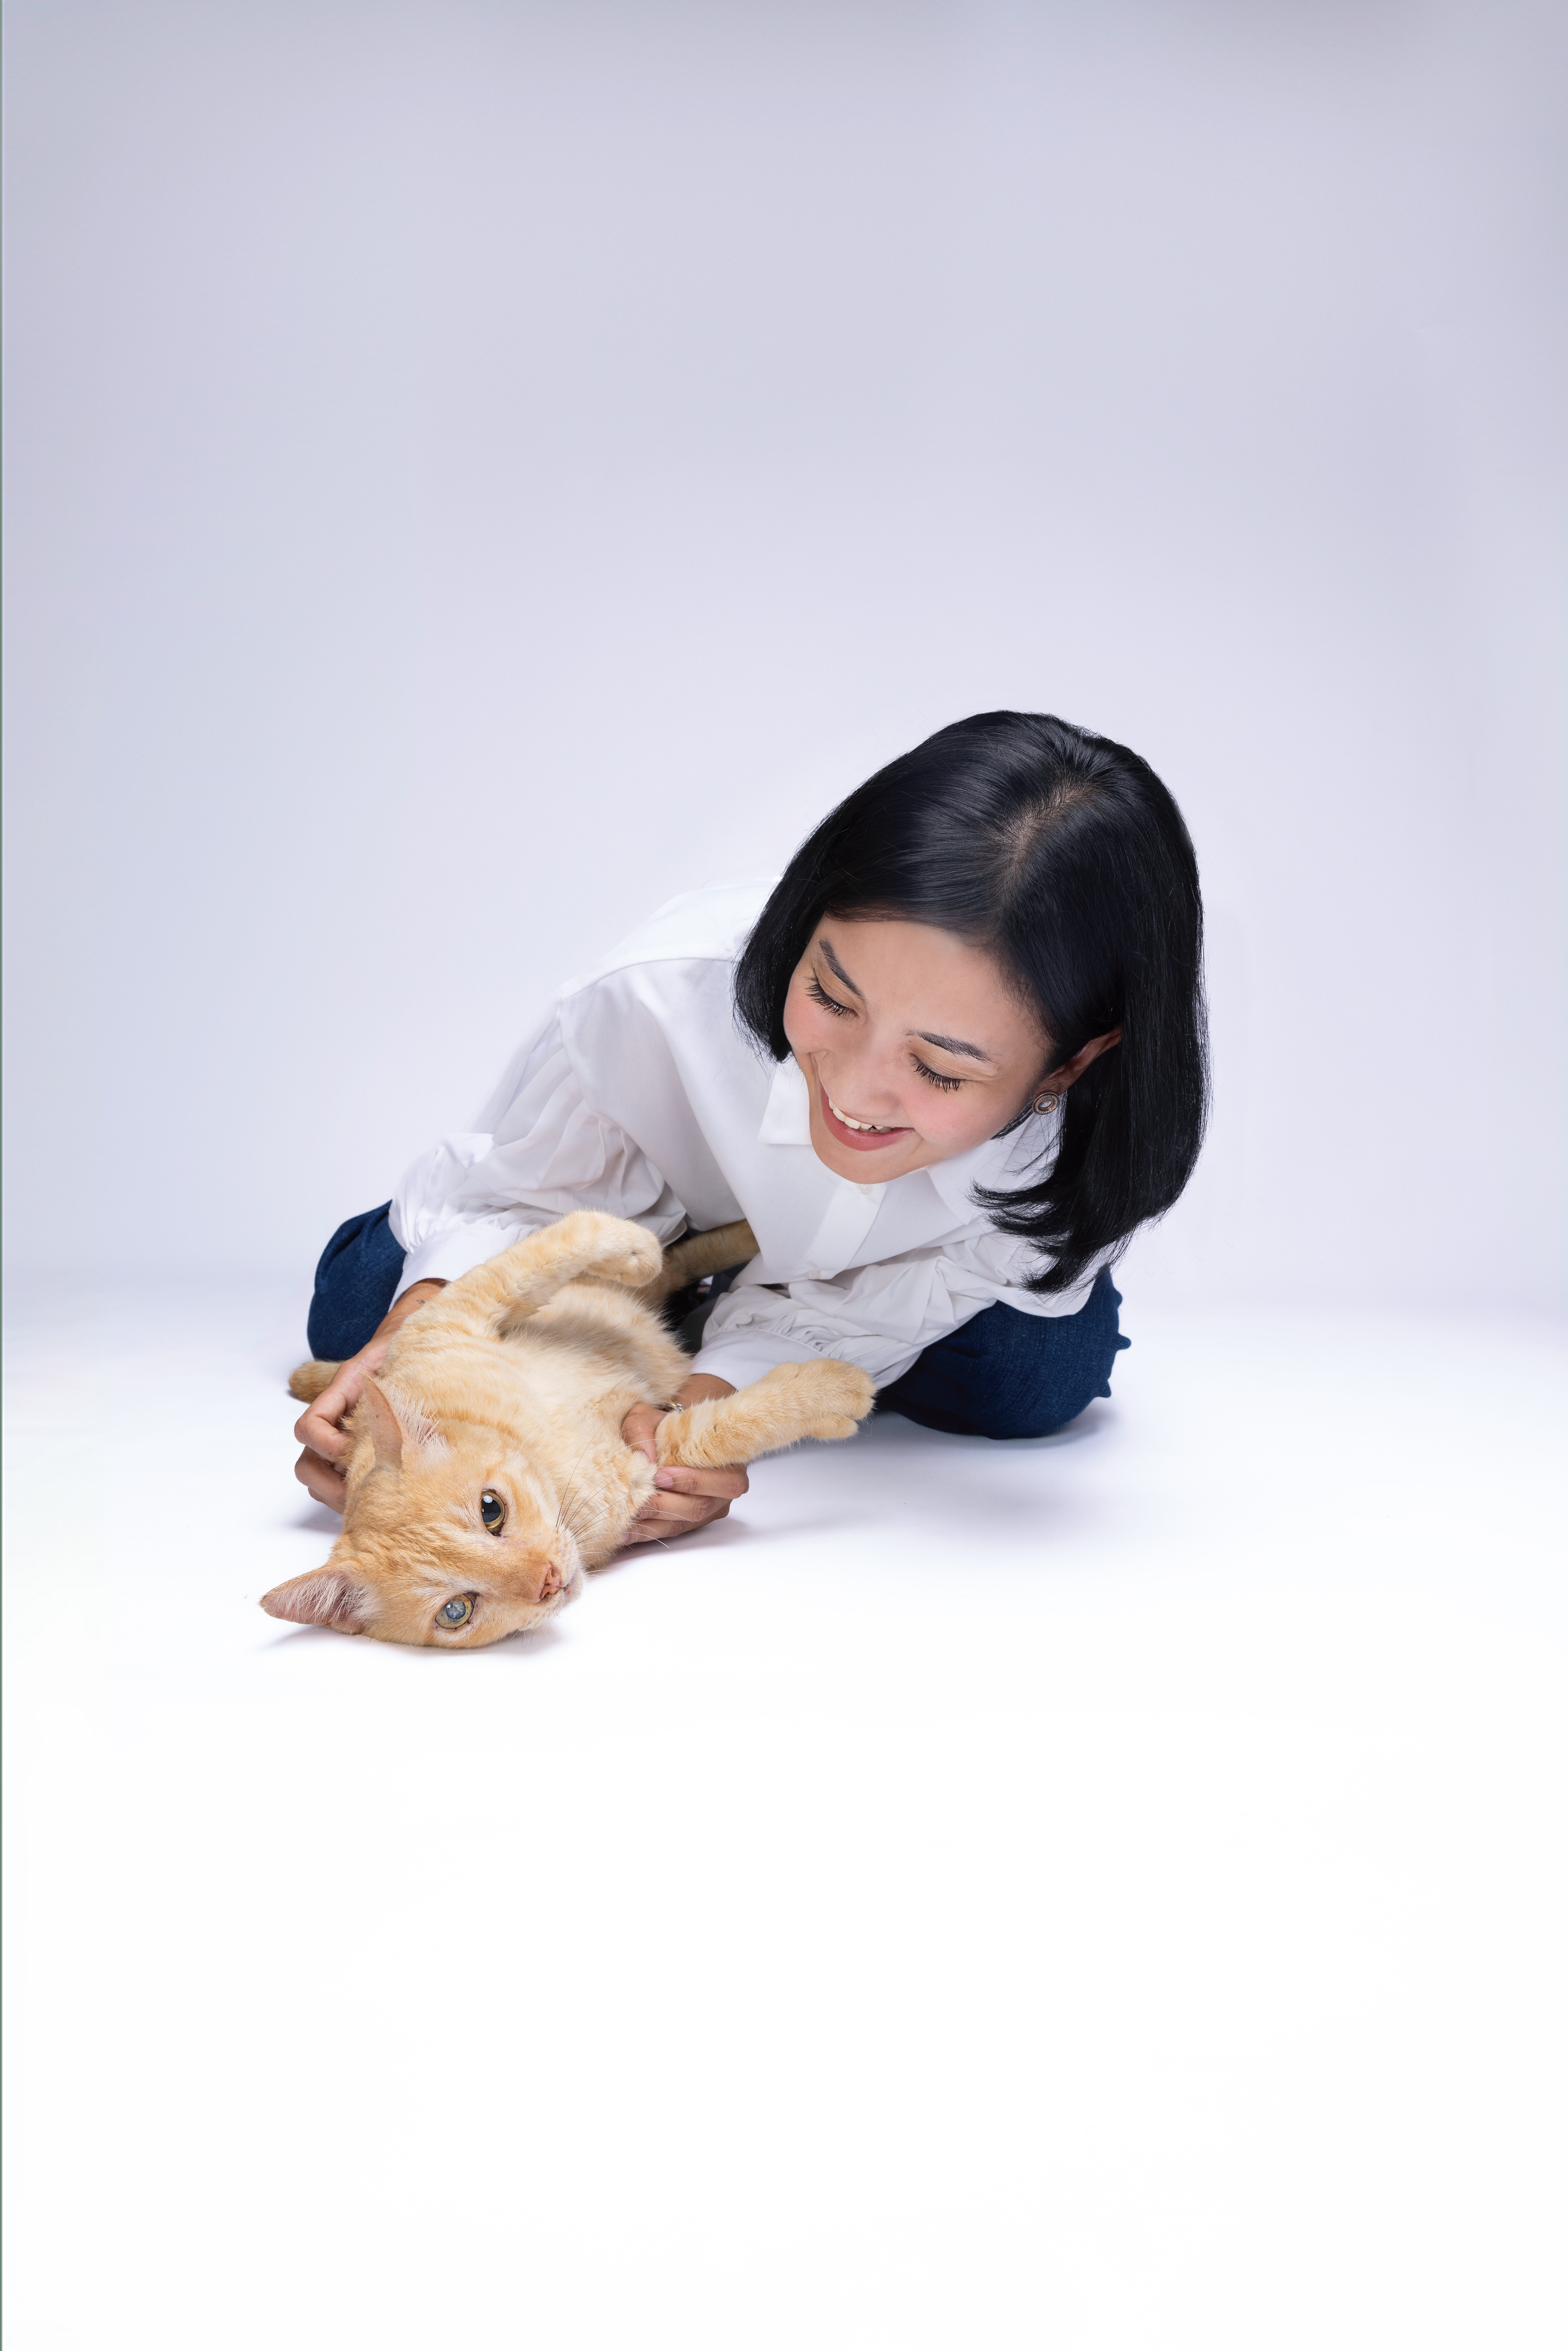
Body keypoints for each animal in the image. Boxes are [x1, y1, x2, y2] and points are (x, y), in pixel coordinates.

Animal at [262, 1210, 874, 1648]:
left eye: (491, 1510)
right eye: (457, 1611)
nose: (548, 1581)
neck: (542, 1451)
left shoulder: (456, 1309)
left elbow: (560, 1240)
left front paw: (634, 1245)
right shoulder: (649, 1456)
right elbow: (720, 1426)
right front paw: (831, 1392)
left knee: (676, 1264)